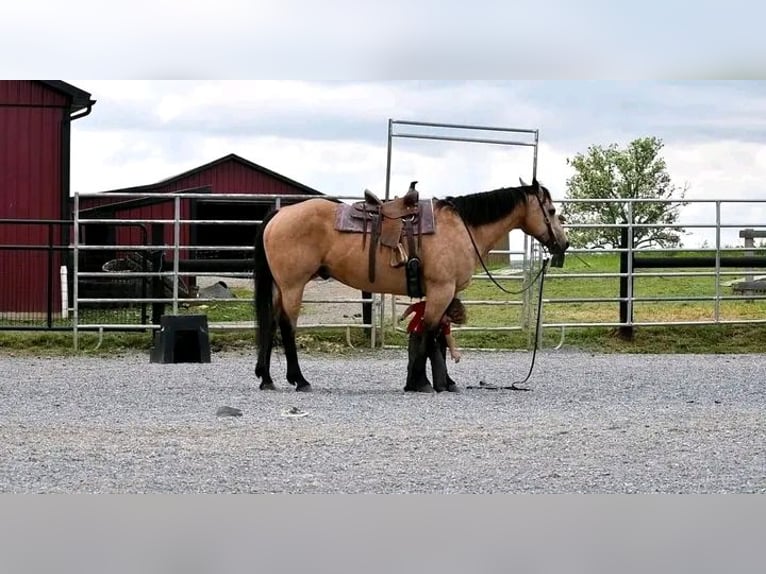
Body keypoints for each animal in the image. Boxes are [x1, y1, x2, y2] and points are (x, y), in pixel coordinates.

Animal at [254, 179, 568, 396]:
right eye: (552, 210)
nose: (563, 244)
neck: (461, 228)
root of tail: (279, 215)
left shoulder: (443, 293)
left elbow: (436, 336)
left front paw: (442, 382)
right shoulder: (441, 289)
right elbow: (429, 333)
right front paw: (420, 382)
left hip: (281, 288)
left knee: (271, 323)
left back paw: (267, 379)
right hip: (293, 286)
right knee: (287, 327)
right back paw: (299, 380)